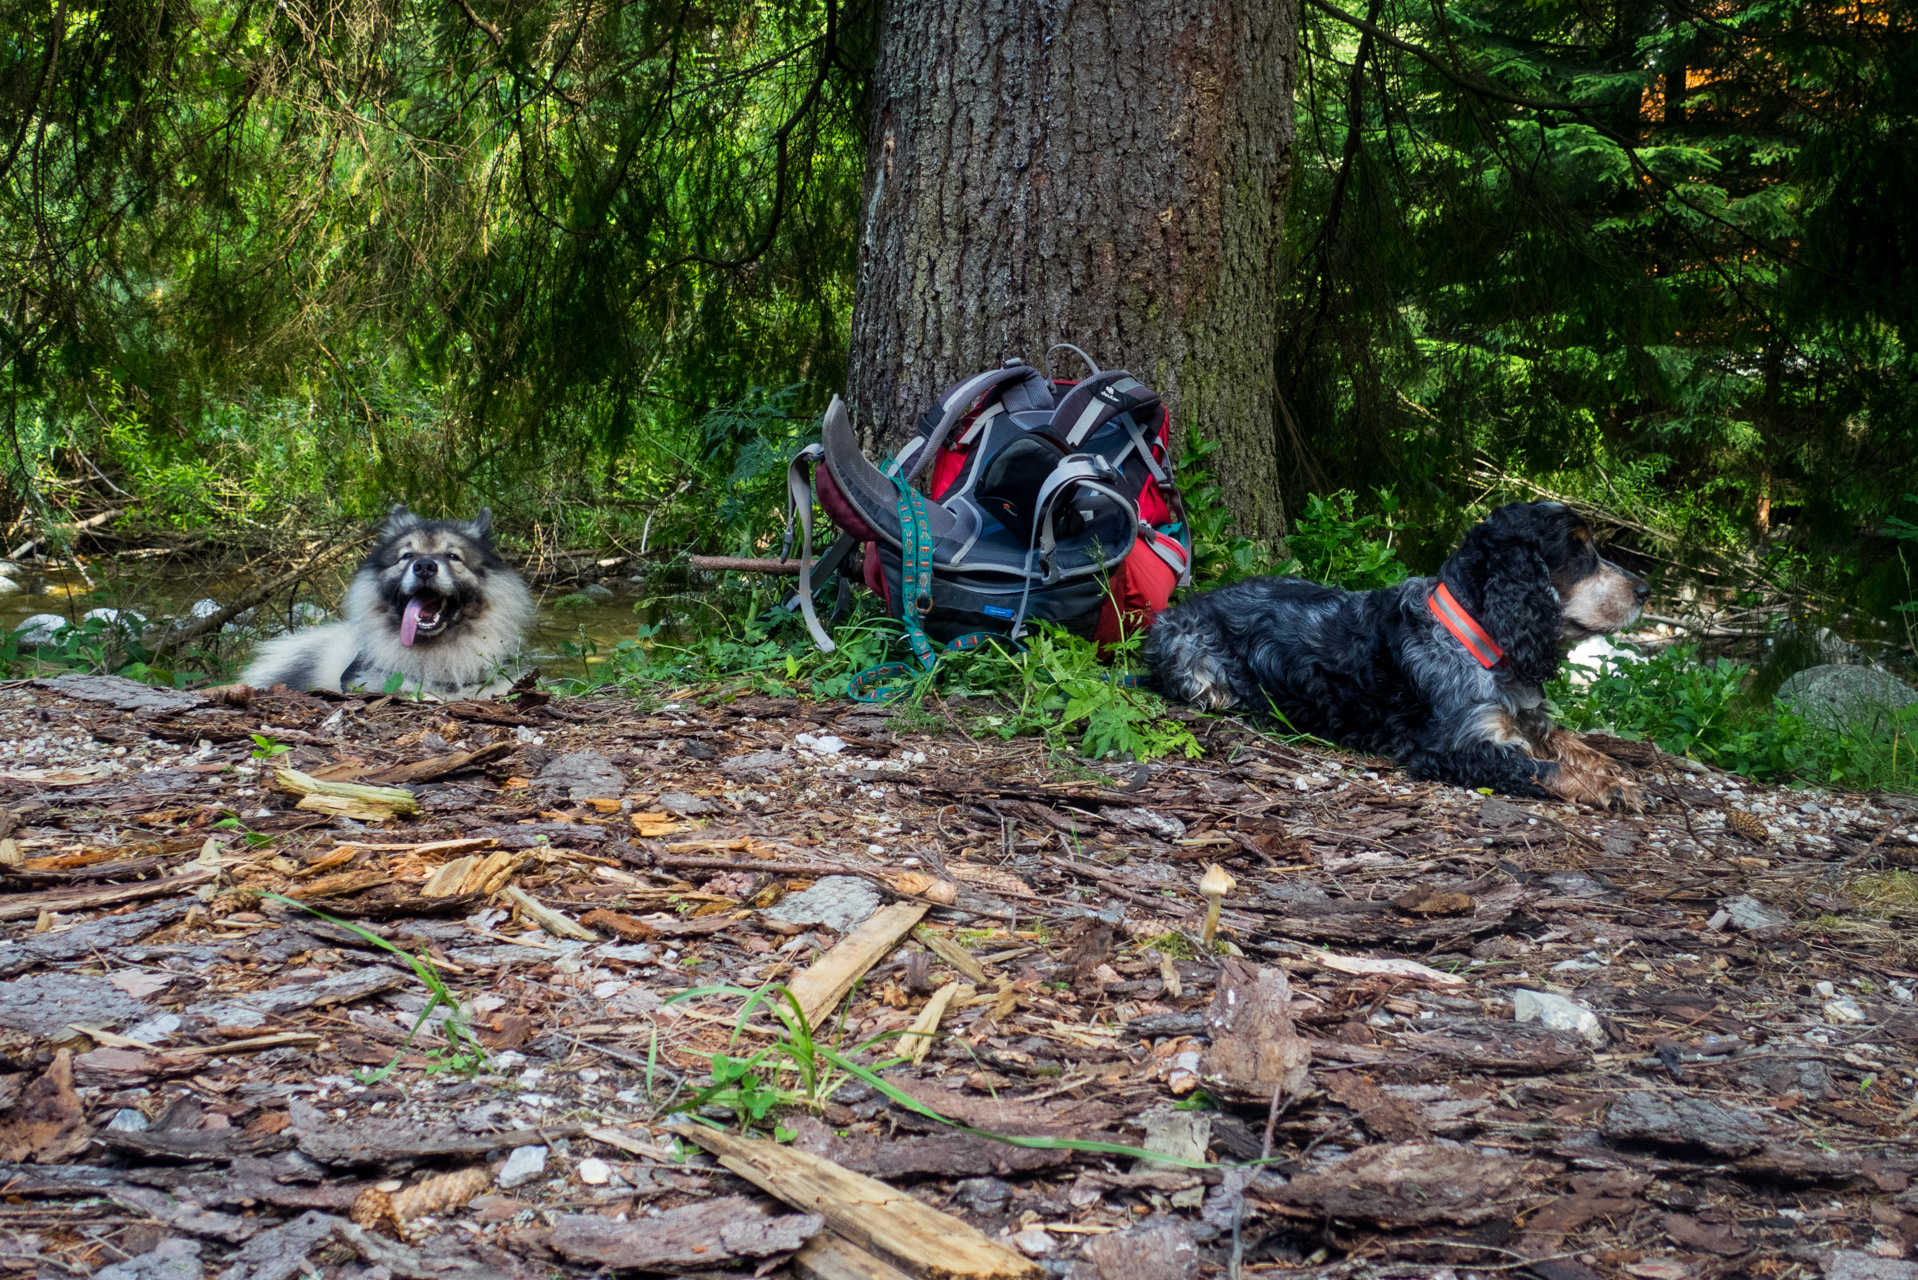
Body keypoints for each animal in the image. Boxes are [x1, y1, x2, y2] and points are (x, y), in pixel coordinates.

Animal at [1143, 502, 1657, 809]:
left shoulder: (1522, 717)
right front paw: (1611, 788)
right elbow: (1540, 766)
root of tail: (1178, 609)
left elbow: (1567, 739)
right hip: (1196, 667)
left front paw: (1615, 767)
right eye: (1578, 551)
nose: (1645, 591)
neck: (1474, 635)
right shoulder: (1454, 749)